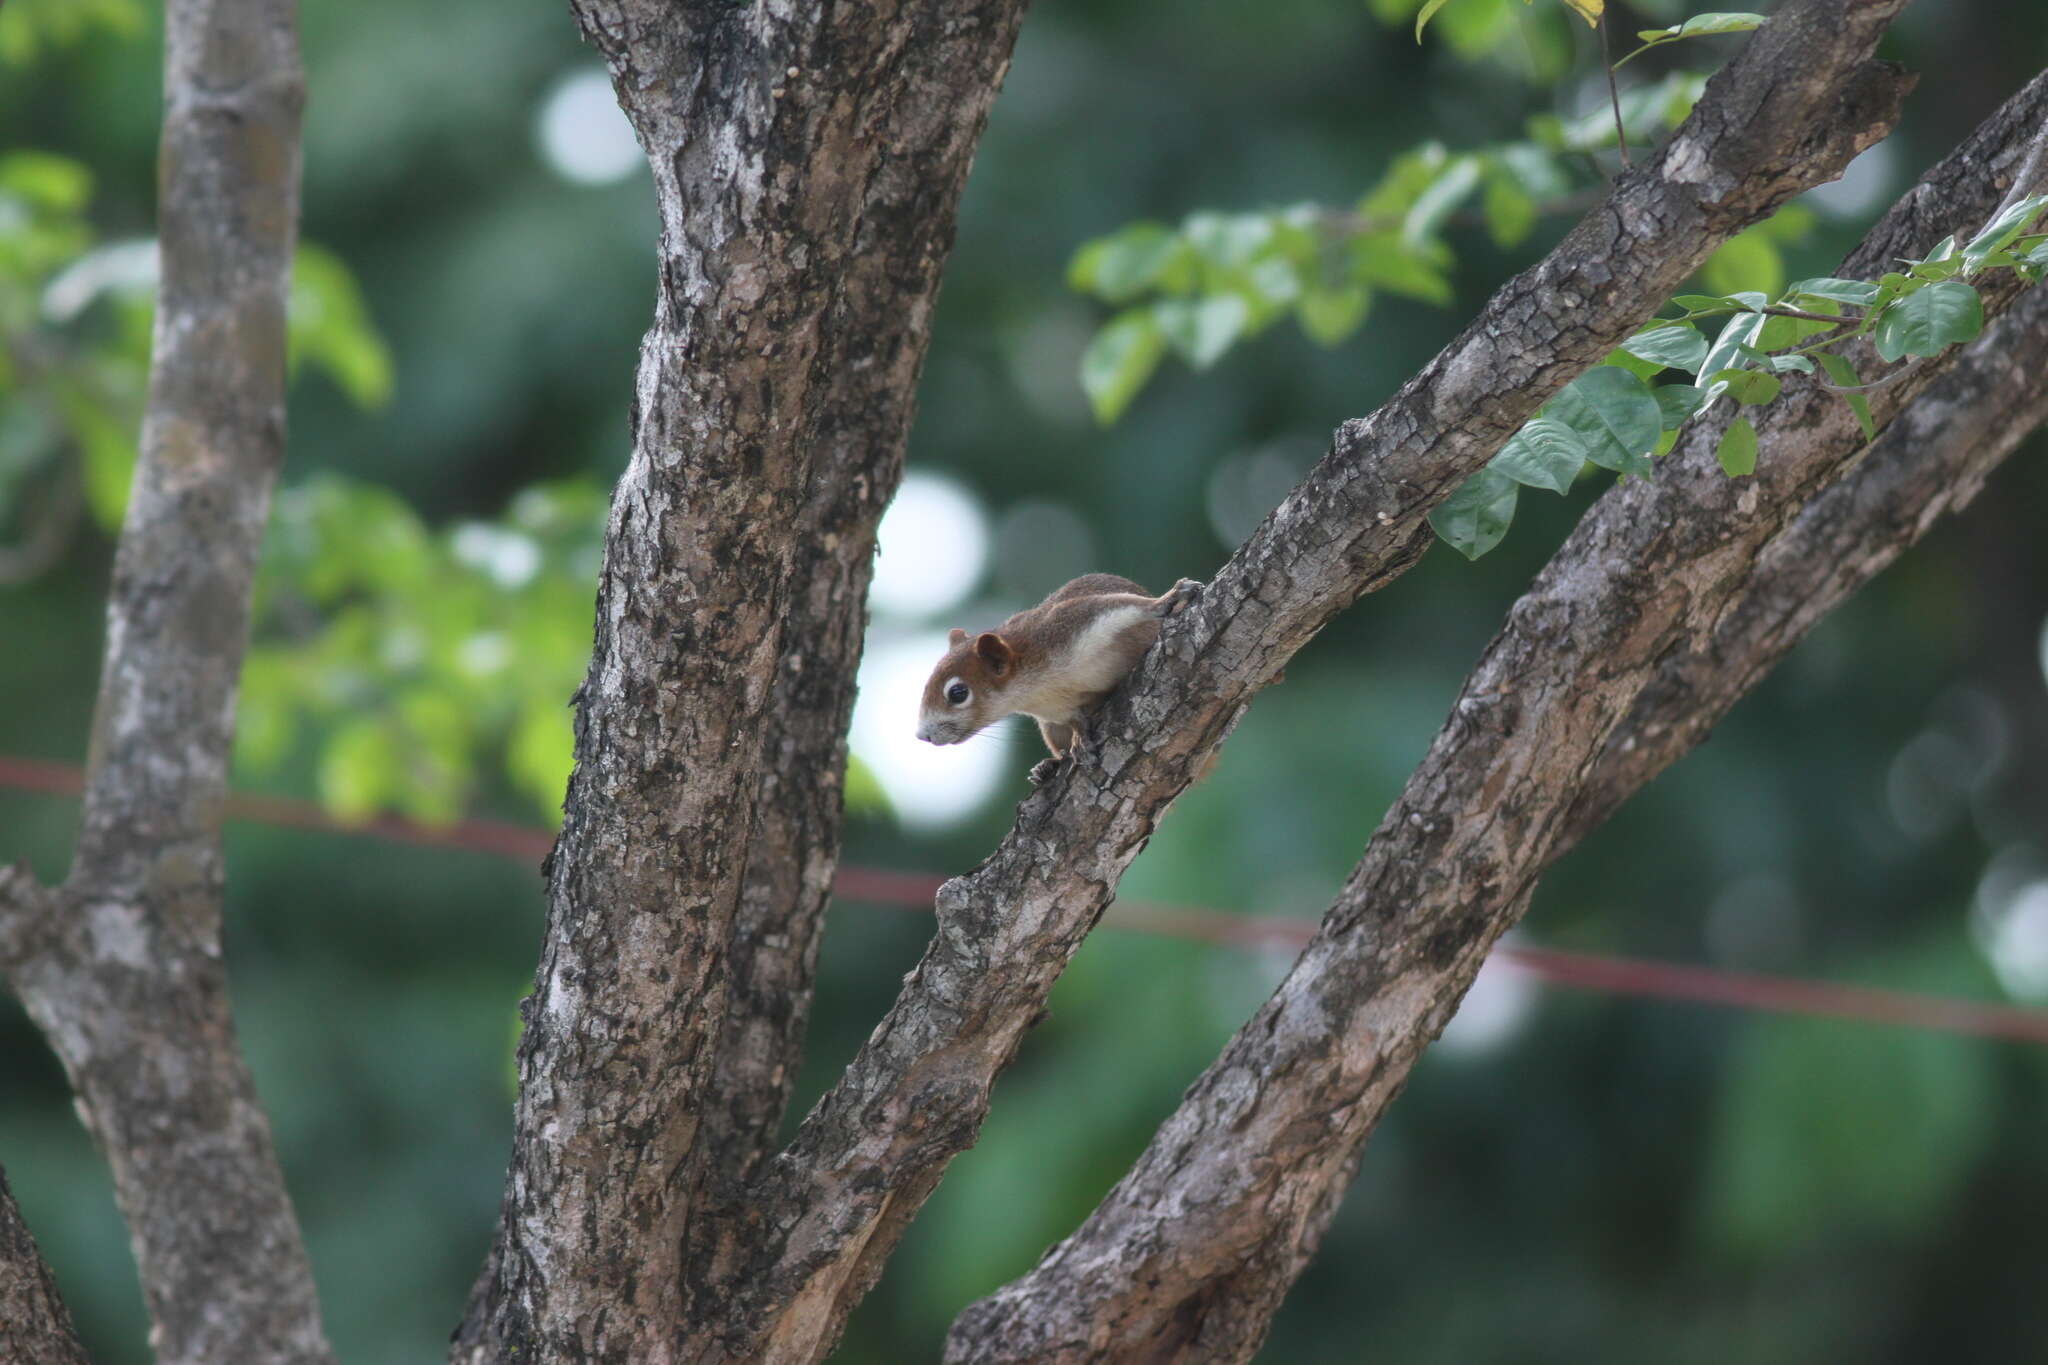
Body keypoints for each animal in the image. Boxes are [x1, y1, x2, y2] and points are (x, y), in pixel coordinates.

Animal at [917, 564, 1196, 777]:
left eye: (958, 693)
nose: (923, 736)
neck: (1037, 685)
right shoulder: (1054, 710)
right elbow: (1074, 719)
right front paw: (1079, 737)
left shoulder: (1071, 623)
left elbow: (1129, 606)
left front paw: (1169, 597)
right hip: (1049, 728)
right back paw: (1046, 767)